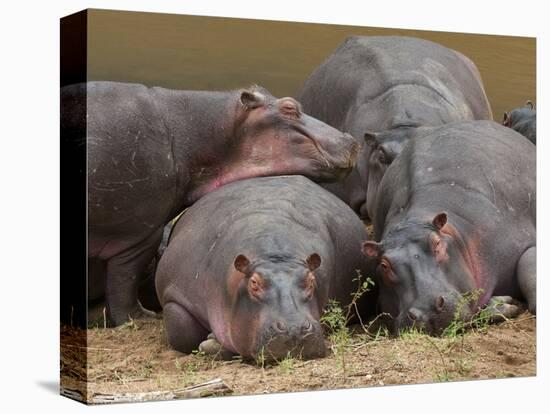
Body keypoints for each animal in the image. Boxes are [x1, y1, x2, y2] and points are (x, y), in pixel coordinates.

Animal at [155, 176, 376, 360]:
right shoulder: (175, 295)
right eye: (254, 283)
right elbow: (182, 333)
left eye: (311, 280)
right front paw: (208, 342)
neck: (276, 257)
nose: (294, 329)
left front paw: (211, 342)